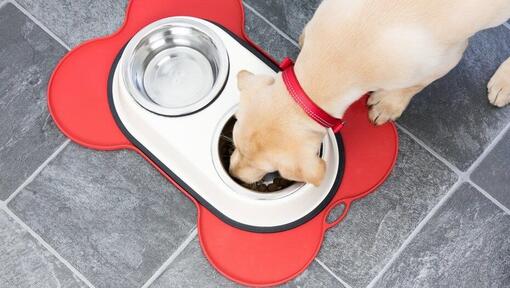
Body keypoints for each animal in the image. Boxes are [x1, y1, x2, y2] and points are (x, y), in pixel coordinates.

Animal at [229, 0, 510, 184]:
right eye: (235, 143)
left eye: (272, 169)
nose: (234, 175)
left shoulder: (446, 58)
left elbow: (415, 85)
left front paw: (389, 104)